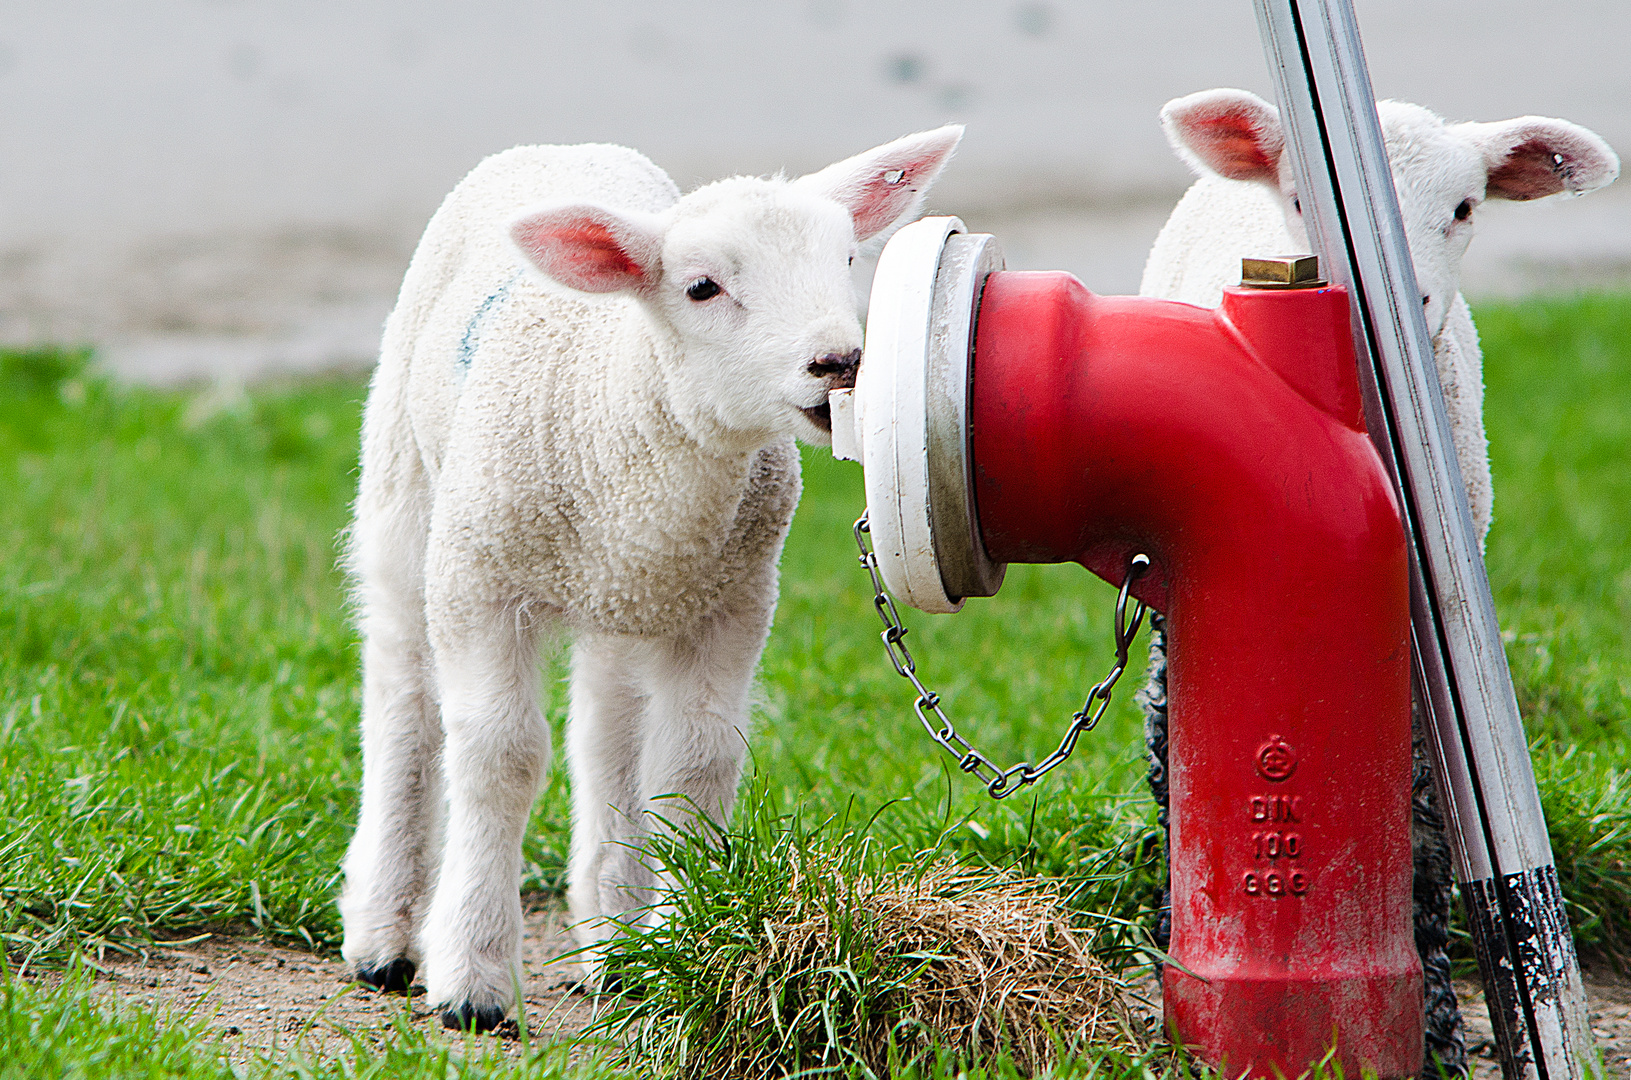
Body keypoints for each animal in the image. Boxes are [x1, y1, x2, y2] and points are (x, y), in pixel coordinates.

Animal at [337, 127, 959, 1031]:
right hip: (405, 491)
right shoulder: (480, 583)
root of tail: (560, 142)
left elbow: (693, 762)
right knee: (403, 698)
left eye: (847, 258)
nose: (841, 361)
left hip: (623, 606)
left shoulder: (730, 599)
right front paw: (473, 982)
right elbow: (498, 756)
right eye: (701, 287)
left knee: (605, 735)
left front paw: (685, 942)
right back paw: (382, 932)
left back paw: (610, 936)